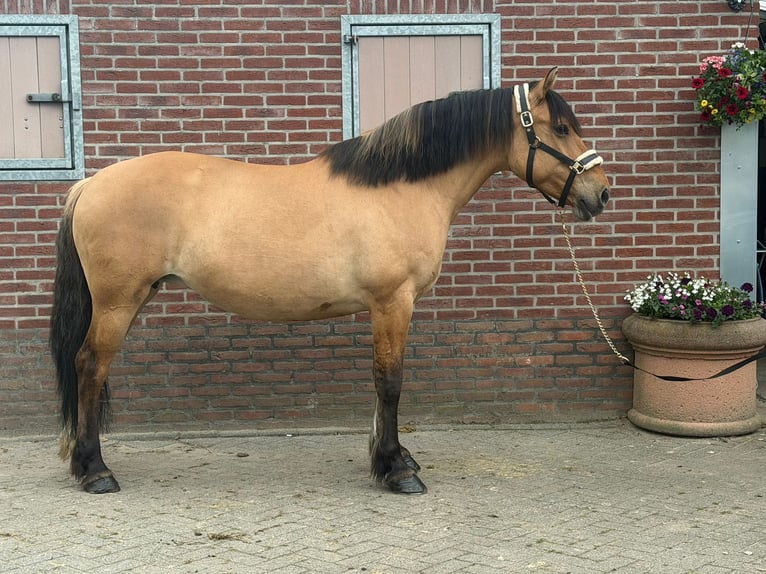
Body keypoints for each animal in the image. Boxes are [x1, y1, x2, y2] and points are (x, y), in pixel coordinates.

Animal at [49, 67, 610, 495]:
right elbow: (390, 382)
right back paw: (95, 471)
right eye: (561, 127)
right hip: (118, 302)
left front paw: (388, 457)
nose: (601, 192)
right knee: (90, 366)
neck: (399, 186)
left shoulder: (384, 307)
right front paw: (397, 470)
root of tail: (90, 185)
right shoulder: (393, 302)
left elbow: (380, 384)